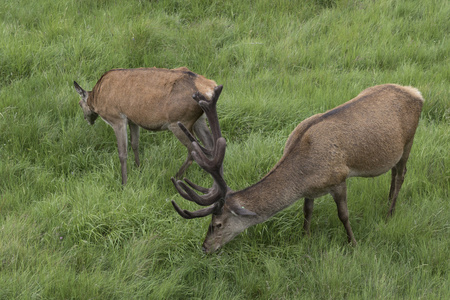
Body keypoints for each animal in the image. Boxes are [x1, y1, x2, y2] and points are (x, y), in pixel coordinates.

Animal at [73, 67, 217, 185]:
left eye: (80, 104)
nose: (87, 120)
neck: (97, 97)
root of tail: (210, 88)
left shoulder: (117, 119)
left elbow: (122, 153)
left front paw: (124, 183)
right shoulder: (133, 120)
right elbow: (135, 144)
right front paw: (139, 169)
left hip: (179, 122)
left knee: (194, 149)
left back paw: (175, 177)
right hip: (200, 120)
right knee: (210, 145)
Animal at [171, 82, 424, 253]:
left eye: (218, 224)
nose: (204, 247)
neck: (303, 175)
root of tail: (416, 93)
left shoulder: (339, 178)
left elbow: (343, 215)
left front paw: (353, 243)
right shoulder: (310, 190)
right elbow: (307, 211)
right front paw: (305, 237)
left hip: (409, 140)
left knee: (401, 174)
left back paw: (390, 213)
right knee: (393, 172)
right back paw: (388, 200)